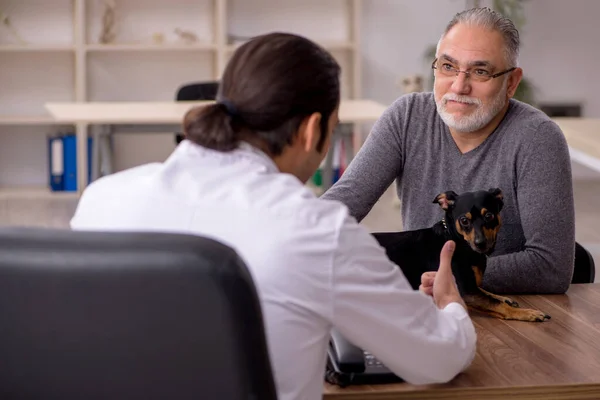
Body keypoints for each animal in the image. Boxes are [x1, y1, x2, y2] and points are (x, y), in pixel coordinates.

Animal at [372, 188, 552, 322]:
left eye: (489, 216)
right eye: (464, 220)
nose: (480, 243)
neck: (457, 240)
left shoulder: (469, 288)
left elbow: (486, 293)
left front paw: (503, 297)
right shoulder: (465, 291)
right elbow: (495, 304)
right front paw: (528, 313)